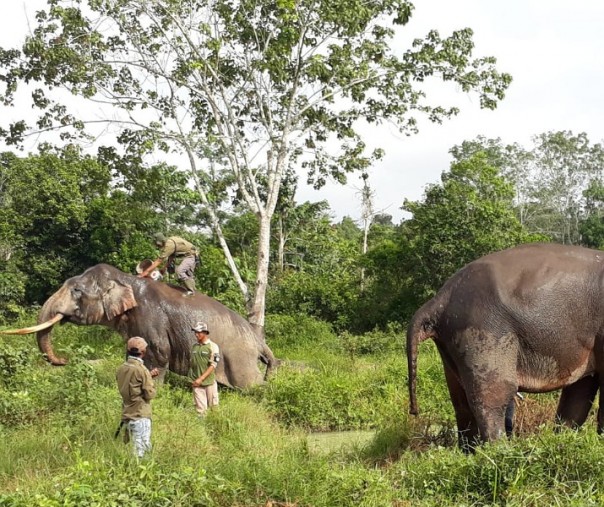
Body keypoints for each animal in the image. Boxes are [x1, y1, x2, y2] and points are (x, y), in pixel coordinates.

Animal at [3, 262, 278, 388]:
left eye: (77, 290)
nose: (64, 360)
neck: (127, 280)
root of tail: (260, 341)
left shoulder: (151, 318)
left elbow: (160, 354)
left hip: (240, 359)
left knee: (250, 385)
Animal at [408, 243, 604, 452]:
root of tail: (439, 300)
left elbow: (579, 391)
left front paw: (564, 440)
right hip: (483, 333)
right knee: (493, 398)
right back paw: (501, 451)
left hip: (453, 343)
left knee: (461, 403)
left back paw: (469, 453)